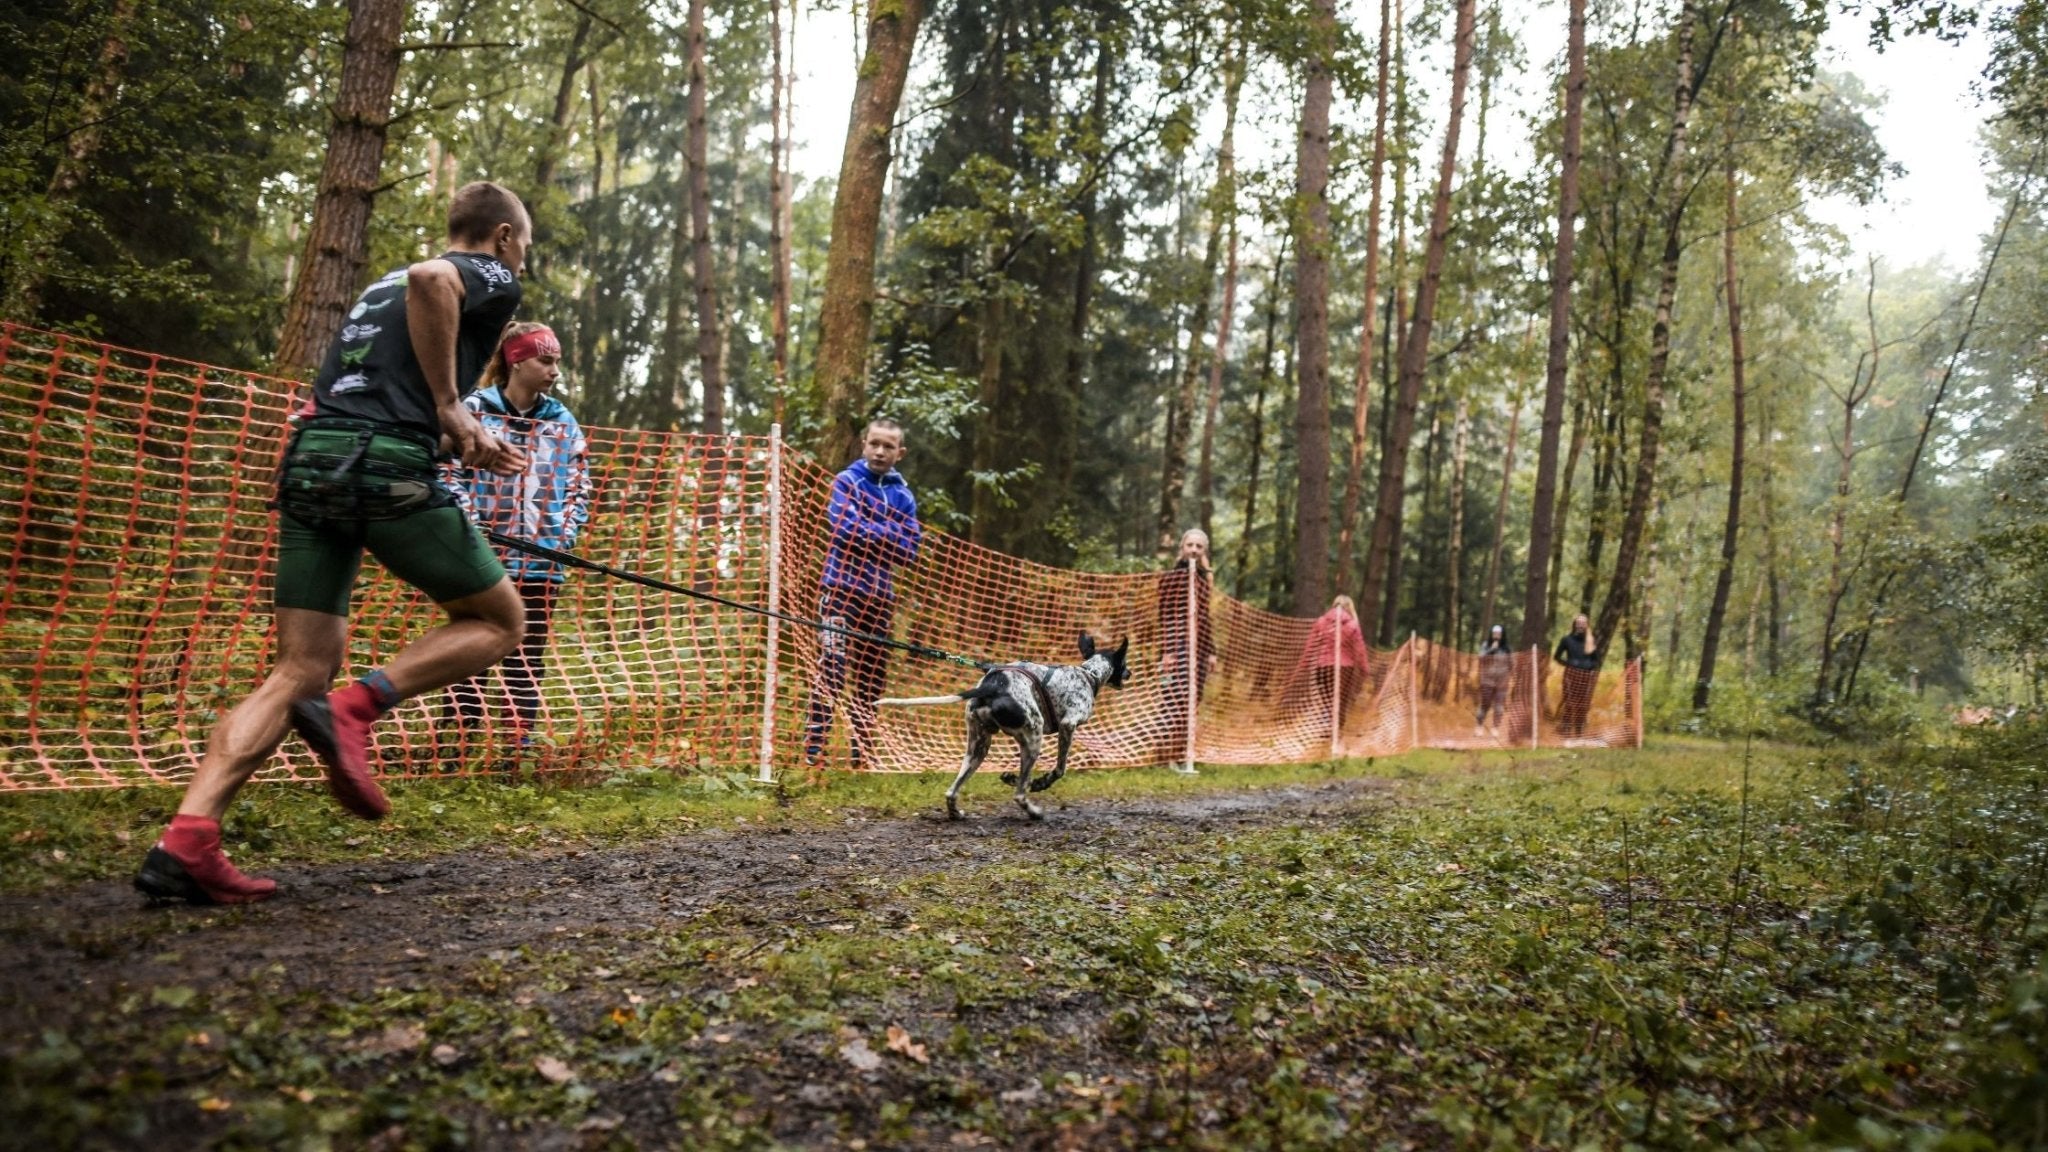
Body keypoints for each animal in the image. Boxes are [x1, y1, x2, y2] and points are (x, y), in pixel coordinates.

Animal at [880, 635, 1138, 815]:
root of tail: (991, 687)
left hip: (978, 749)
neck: (1088, 673)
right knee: (1019, 794)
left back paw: (957, 812)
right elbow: (1059, 769)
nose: (1131, 673)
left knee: (951, 792)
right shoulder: (1068, 725)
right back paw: (1032, 810)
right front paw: (1041, 782)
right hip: (1033, 738)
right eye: (1125, 663)